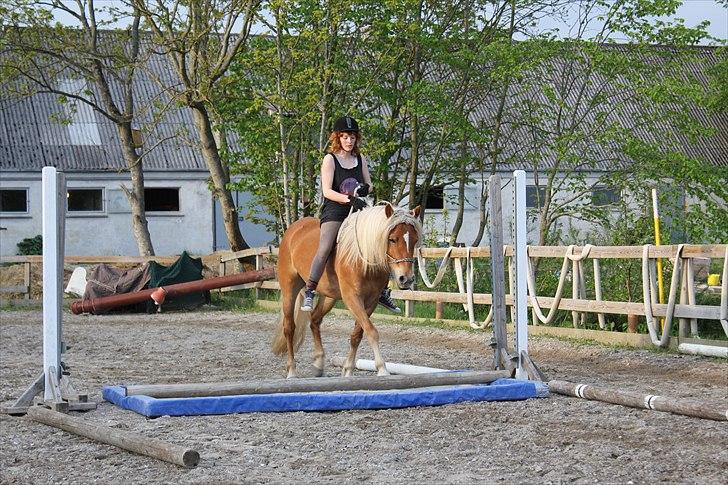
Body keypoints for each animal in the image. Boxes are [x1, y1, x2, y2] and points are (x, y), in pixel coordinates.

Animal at [272, 202, 420, 376]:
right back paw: (292, 371)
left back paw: (318, 364)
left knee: (314, 320)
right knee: (289, 328)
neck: (363, 259)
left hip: (329, 297)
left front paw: (348, 370)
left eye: (415, 240)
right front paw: (382, 369)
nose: (406, 278)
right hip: (290, 289)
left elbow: (358, 334)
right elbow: (371, 331)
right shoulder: (352, 298)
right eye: (392, 239)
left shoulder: (371, 301)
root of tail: (293, 229)